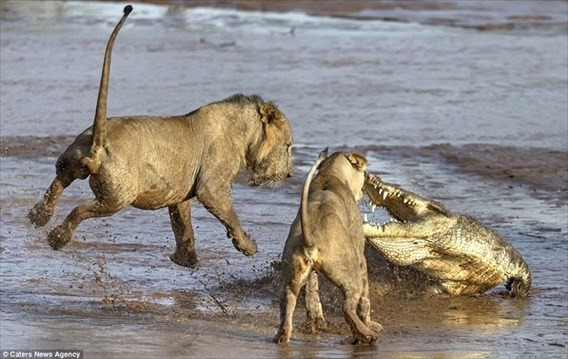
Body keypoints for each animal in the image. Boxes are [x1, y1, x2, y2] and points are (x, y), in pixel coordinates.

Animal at [27, 4, 292, 268]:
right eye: (289, 145)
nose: (289, 174)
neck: (243, 131)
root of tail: (98, 144)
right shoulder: (211, 185)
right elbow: (229, 215)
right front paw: (248, 247)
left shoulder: (180, 191)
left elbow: (182, 226)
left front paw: (186, 260)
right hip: (118, 197)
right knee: (80, 209)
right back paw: (57, 237)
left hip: (70, 161)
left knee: (58, 183)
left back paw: (38, 216)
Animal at [274, 149, 382, 346]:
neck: (330, 173)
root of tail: (311, 240)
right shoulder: (361, 256)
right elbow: (365, 298)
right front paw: (370, 323)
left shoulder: (310, 273)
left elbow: (312, 293)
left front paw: (316, 319)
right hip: (351, 273)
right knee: (347, 307)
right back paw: (366, 334)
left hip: (290, 278)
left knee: (287, 306)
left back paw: (282, 336)